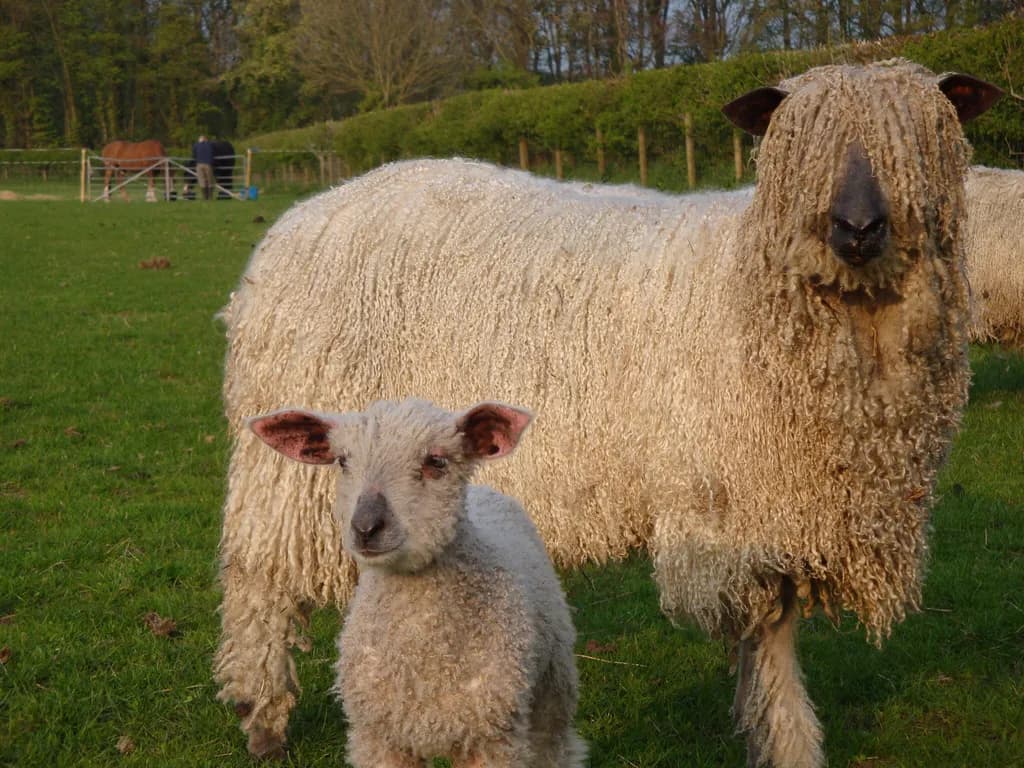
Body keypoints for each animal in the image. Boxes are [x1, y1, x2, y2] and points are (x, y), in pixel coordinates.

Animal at [246, 397, 587, 767]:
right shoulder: (378, 738)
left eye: (435, 461)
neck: (423, 652)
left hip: (553, 681)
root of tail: (484, 491)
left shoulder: (492, 738)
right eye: (342, 461)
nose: (365, 527)